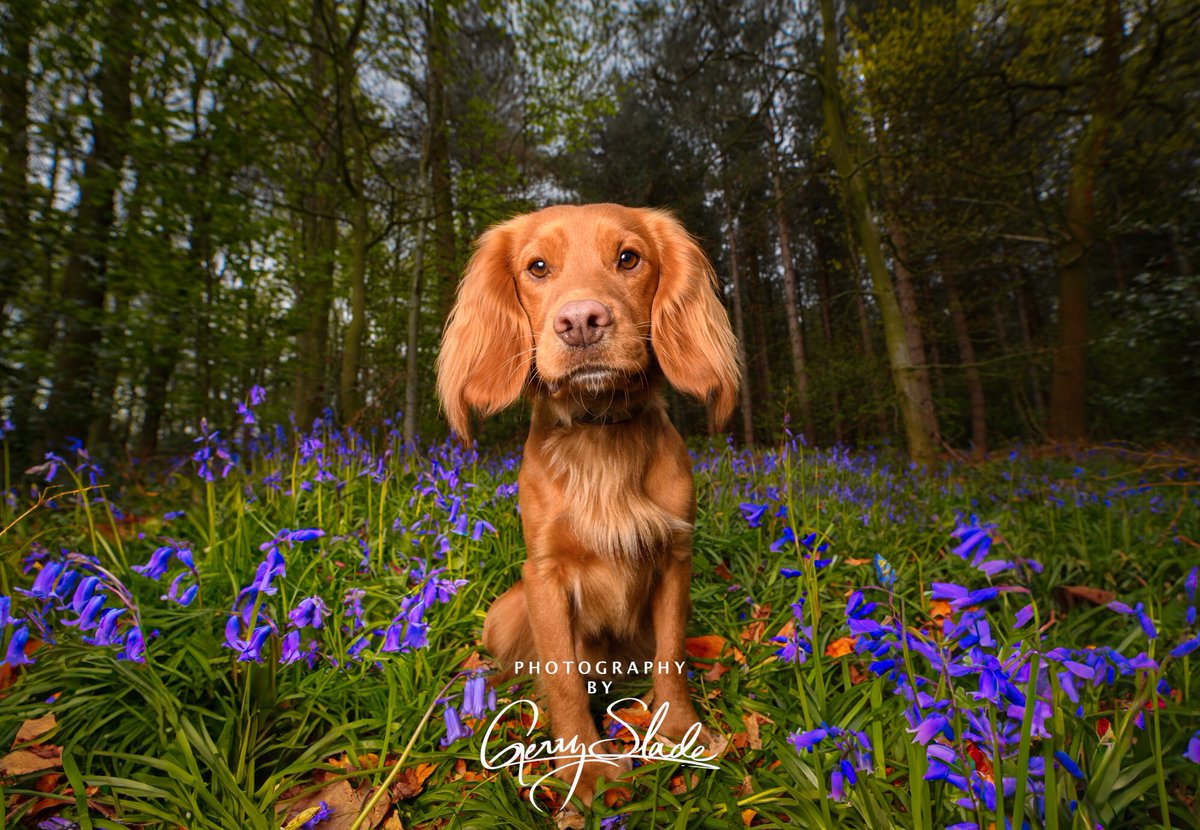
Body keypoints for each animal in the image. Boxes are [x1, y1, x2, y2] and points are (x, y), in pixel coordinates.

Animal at [436, 203, 739, 806]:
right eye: (537, 267)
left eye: (628, 258)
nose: (581, 321)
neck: (600, 432)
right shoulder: (546, 575)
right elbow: (564, 680)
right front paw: (585, 767)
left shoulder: (676, 558)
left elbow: (671, 657)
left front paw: (678, 732)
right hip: (506, 610)